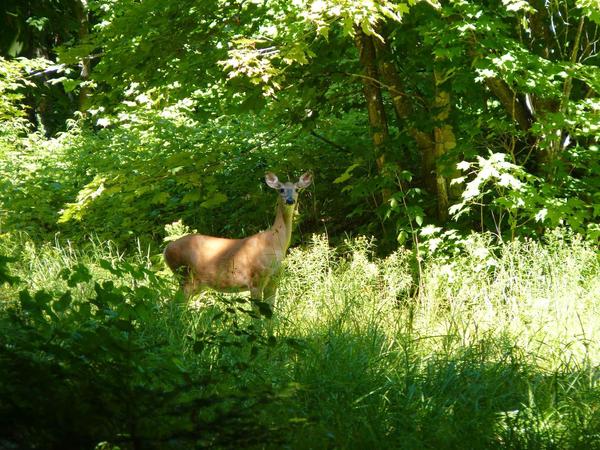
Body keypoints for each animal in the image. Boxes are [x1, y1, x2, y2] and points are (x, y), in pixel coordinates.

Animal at [164, 171, 314, 306]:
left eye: (297, 189)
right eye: (281, 189)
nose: (290, 200)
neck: (275, 242)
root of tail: (166, 249)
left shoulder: (274, 280)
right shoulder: (255, 279)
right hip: (185, 276)